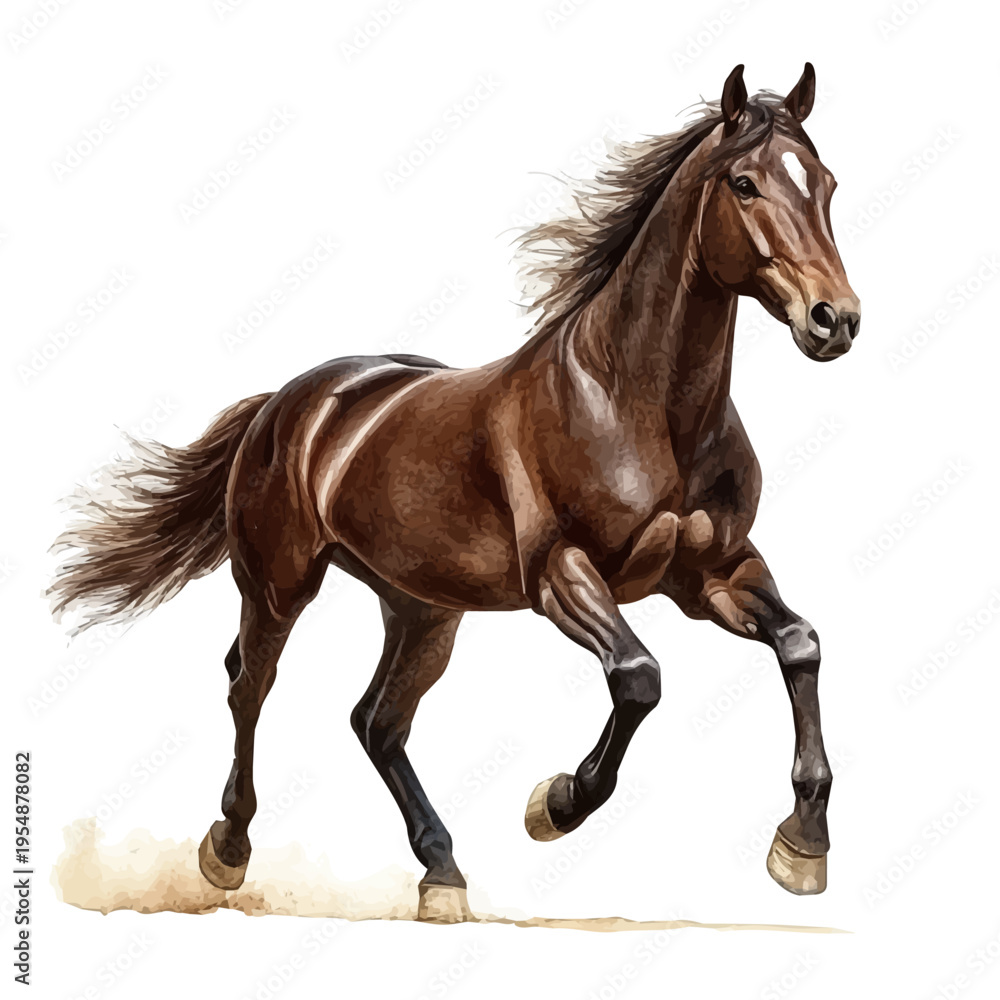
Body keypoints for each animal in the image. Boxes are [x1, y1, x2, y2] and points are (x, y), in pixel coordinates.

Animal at [50, 63, 860, 924]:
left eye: (826, 184)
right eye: (744, 183)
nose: (835, 320)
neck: (637, 404)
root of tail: (288, 400)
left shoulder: (714, 574)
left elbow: (800, 644)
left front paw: (802, 847)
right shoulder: (563, 575)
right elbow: (640, 678)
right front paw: (555, 804)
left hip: (423, 609)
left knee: (377, 721)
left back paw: (441, 872)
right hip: (280, 584)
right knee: (251, 687)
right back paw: (228, 850)